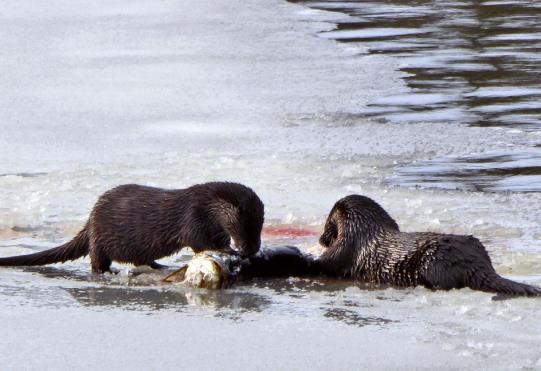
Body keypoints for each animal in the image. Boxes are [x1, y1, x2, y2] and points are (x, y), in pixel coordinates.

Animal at [0, 182, 264, 274]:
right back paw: (106, 272)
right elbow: (199, 242)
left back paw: (158, 265)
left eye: (259, 227)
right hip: (99, 237)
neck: (205, 205)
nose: (251, 249)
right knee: (96, 260)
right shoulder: (193, 218)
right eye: (246, 228)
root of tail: (90, 219)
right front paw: (229, 251)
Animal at [316, 195, 540, 296]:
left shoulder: (346, 247)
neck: (364, 230)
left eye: (327, 224)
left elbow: (329, 263)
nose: (320, 239)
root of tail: (477, 262)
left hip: (433, 261)